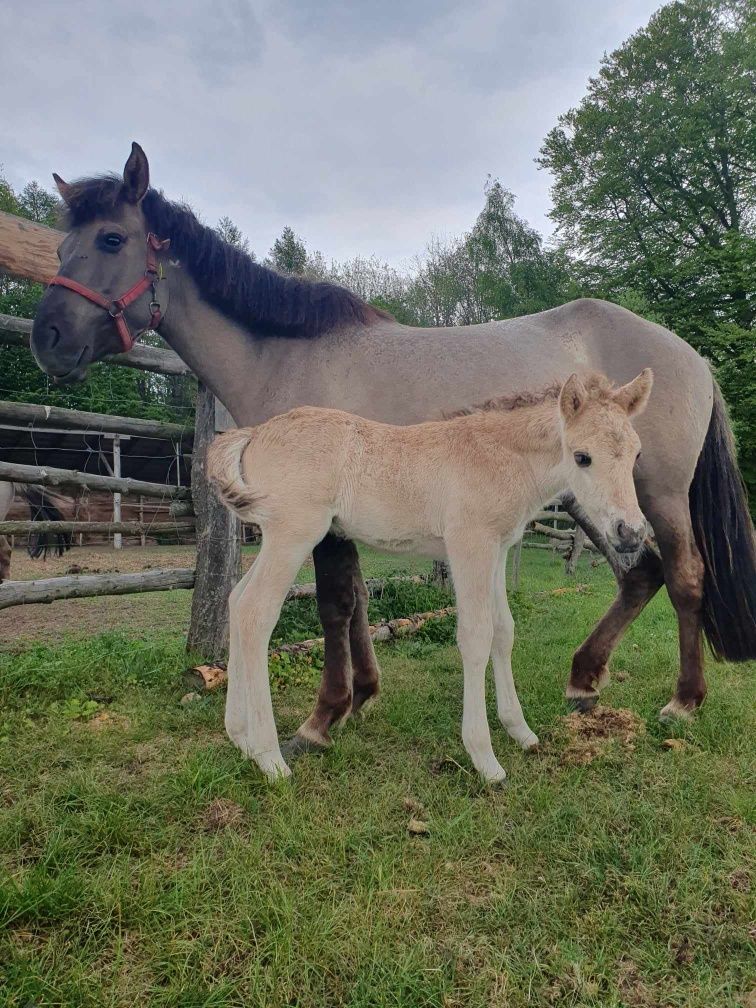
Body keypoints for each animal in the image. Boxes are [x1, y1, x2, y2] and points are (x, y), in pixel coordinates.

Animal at [205, 366, 653, 782]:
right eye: (582, 456)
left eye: (636, 454)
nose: (630, 532)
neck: (499, 457)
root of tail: (254, 434)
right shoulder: (469, 544)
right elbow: (475, 636)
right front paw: (484, 758)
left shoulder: (497, 550)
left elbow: (503, 630)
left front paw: (520, 731)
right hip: (294, 533)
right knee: (256, 612)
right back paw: (269, 758)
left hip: (276, 538)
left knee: (235, 601)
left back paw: (240, 737)